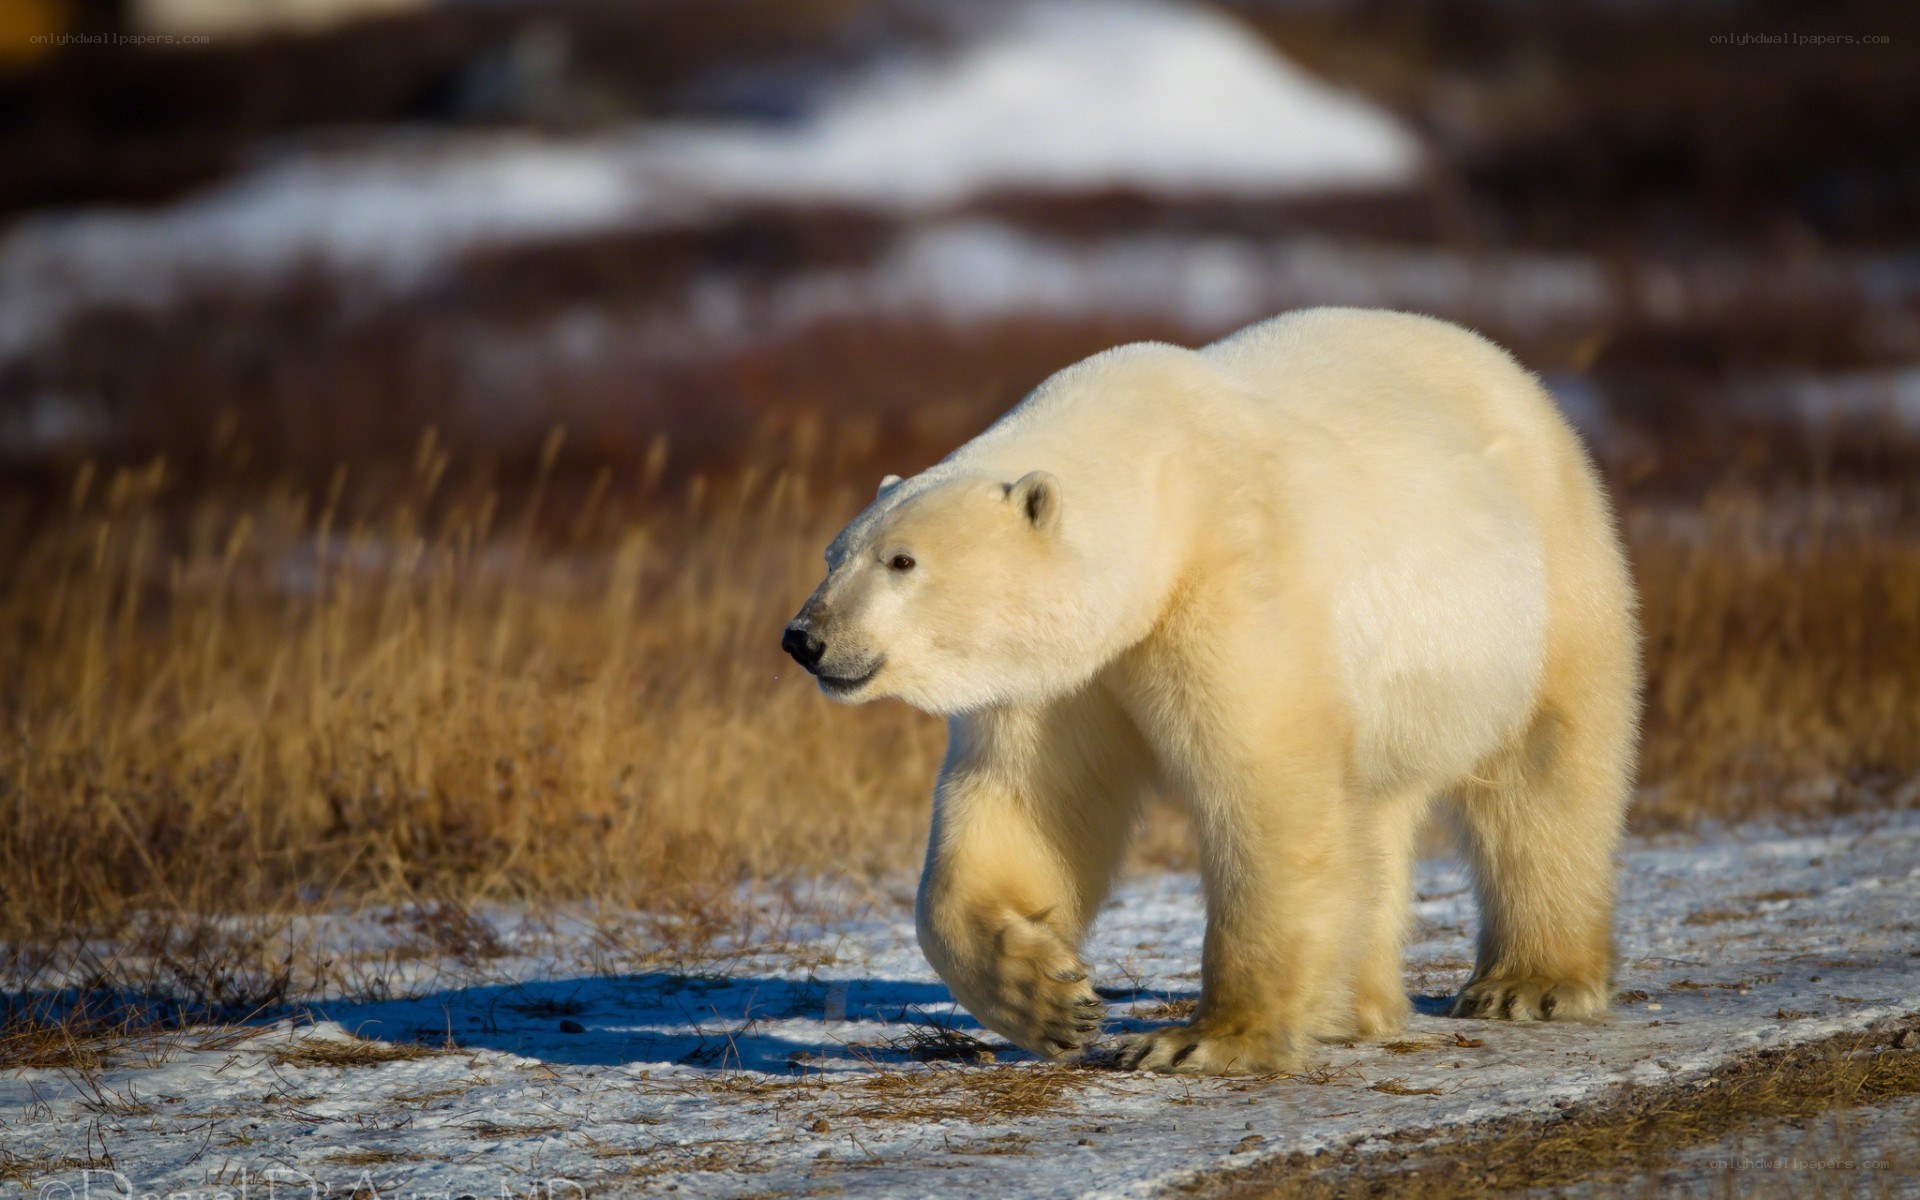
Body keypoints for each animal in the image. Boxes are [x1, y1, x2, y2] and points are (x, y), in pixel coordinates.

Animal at [782, 307, 1640, 1074]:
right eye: (833, 553)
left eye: (902, 561)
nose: (804, 637)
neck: (1160, 485)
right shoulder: (1063, 673)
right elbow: (1026, 802)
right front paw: (1050, 998)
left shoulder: (1234, 577)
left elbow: (1264, 788)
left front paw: (1203, 1038)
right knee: (1372, 813)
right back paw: (1351, 1007)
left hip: (1549, 580)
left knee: (1546, 771)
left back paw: (1528, 983)